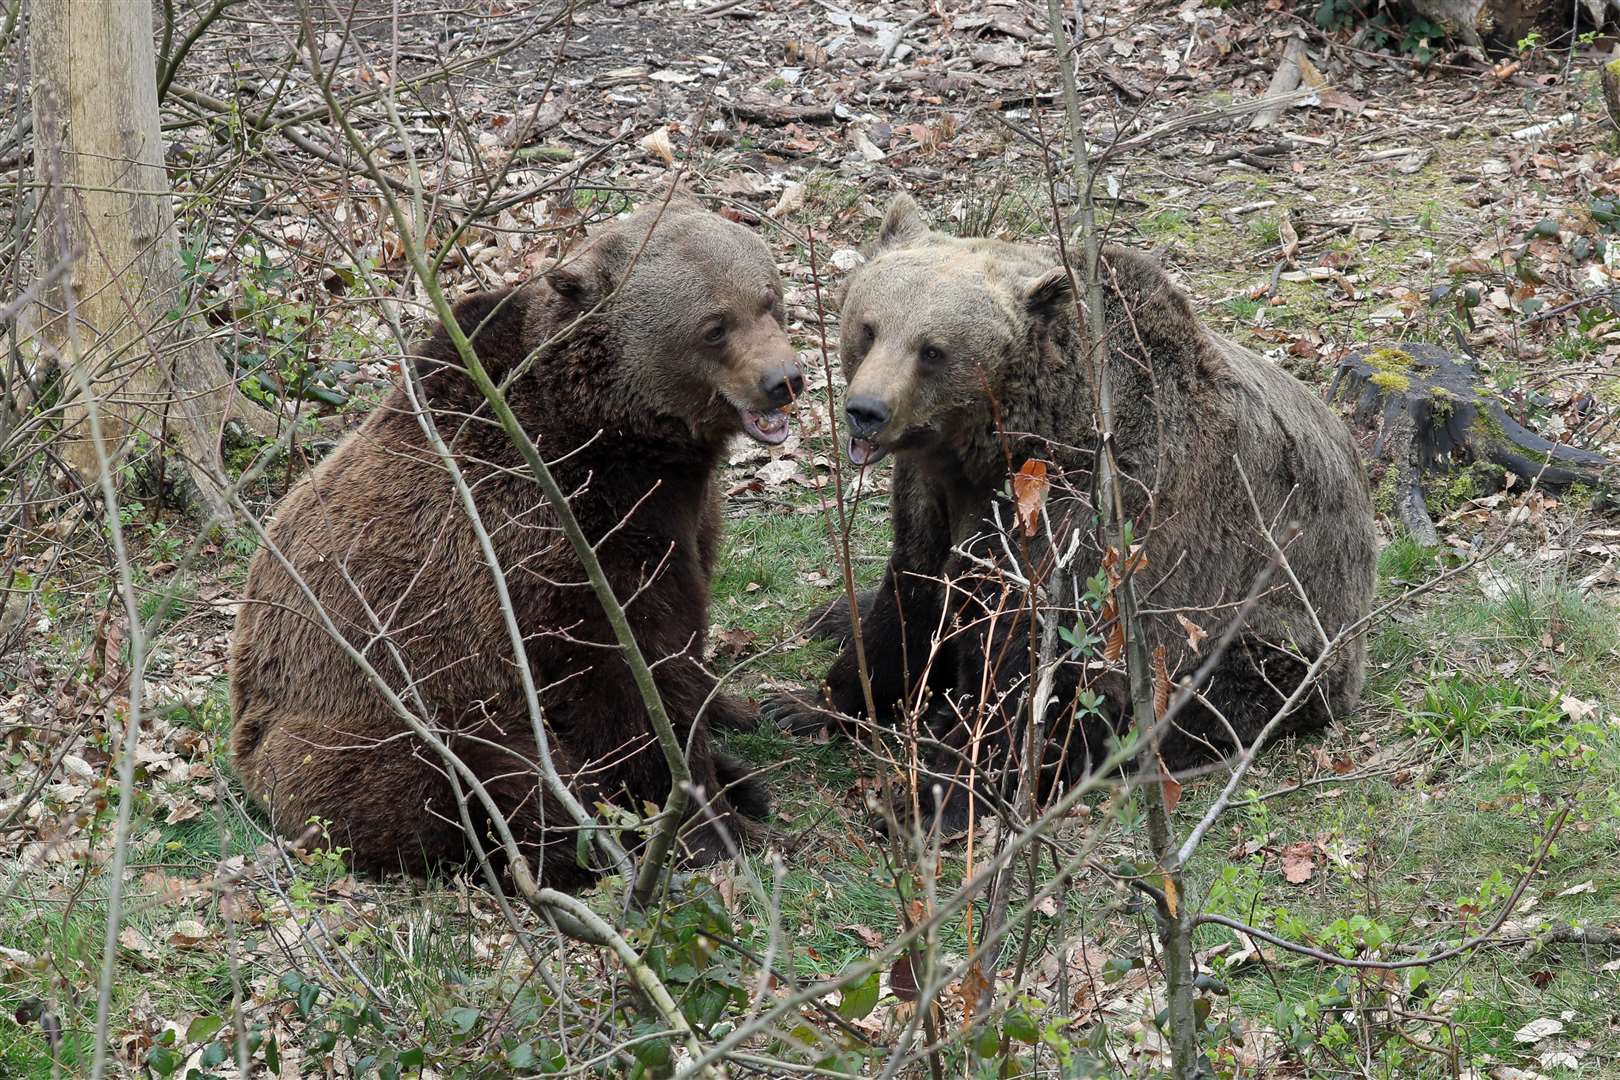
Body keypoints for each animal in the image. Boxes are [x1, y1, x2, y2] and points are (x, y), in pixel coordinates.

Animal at [230, 198, 803, 893]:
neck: (625, 443)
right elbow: (635, 688)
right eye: (714, 326)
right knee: (490, 783)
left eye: (768, 299)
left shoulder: (684, 517)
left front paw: (733, 747)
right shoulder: (557, 551)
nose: (785, 380)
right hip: (368, 732)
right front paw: (714, 829)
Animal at [764, 194, 1373, 835]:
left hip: (1271, 624)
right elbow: (908, 598)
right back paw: (835, 613)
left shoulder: (1086, 513)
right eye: (869, 326)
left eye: (932, 350)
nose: (866, 410)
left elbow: (1028, 667)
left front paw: (928, 794)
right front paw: (803, 702)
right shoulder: (930, 492)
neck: (998, 447)